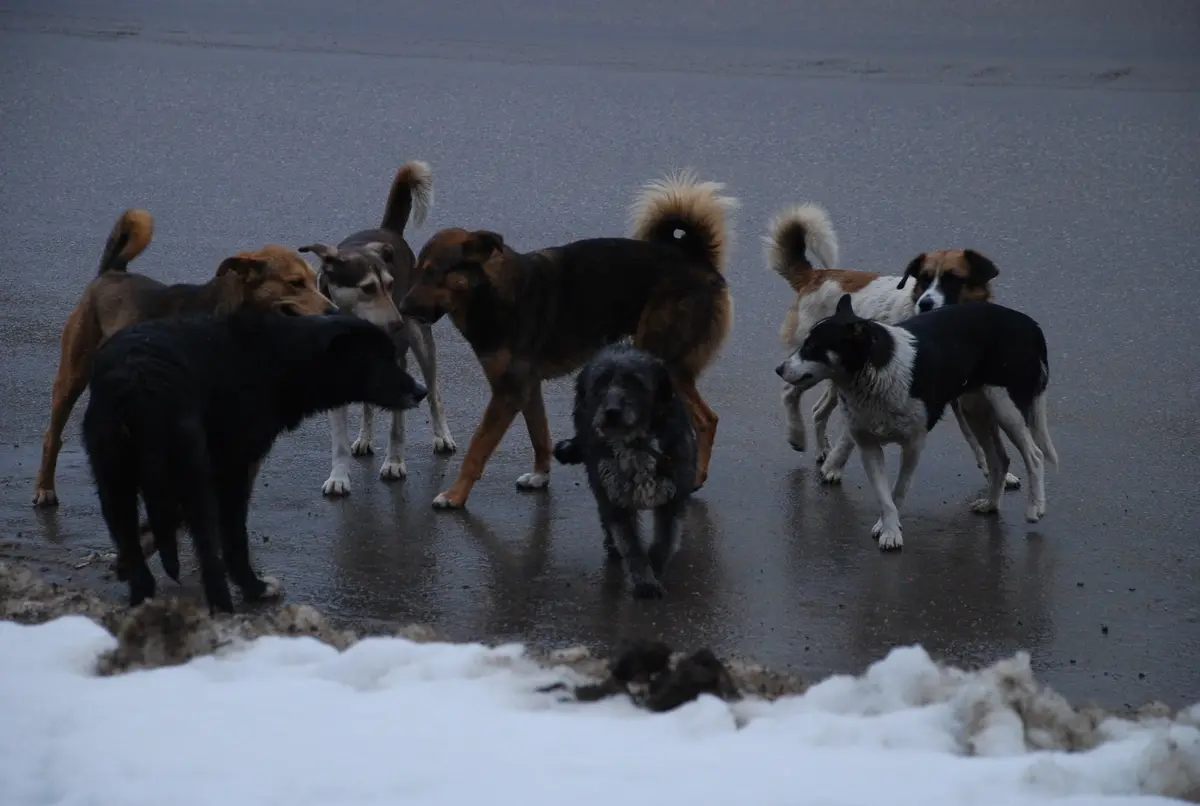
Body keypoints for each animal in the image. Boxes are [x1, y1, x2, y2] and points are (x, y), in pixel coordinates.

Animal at [81, 307, 427, 611]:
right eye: (381, 359)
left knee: (138, 564)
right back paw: (225, 609)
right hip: (191, 477)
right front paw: (254, 587)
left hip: (113, 485)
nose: (422, 391)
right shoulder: (233, 468)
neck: (281, 357)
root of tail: (137, 383)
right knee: (209, 559)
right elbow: (234, 538)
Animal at [400, 170, 739, 510]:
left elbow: (477, 448)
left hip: (664, 359)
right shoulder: (527, 387)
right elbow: (540, 435)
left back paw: (693, 478)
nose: (401, 307)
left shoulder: (508, 392)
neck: (491, 293)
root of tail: (697, 259)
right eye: (417, 271)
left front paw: (455, 495)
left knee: (707, 420)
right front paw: (540, 476)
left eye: (432, 273)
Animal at [549, 340, 696, 597]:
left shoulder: (672, 496)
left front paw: (655, 566)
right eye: (600, 382)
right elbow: (631, 545)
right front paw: (645, 582)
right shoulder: (615, 498)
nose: (611, 412)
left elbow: (664, 542)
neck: (635, 442)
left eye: (635, 382)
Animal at [763, 205, 1017, 486]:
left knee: (819, 411)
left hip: (834, 376)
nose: (926, 303)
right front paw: (835, 466)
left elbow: (976, 439)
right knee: (789, 392)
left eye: (953, 279)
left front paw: (1000, 474)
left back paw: (821, 448)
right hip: (809, 366)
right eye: (924, 279)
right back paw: (797, 436)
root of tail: (817, 275)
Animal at [772, 292, 1056, 551]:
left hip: (1007, 408)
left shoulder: (913, 445)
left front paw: (890, 531)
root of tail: (1030, 324)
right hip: (975, 409)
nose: (779, 369)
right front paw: (888, 527)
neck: (876, 372)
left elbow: (898, 490)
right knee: (999, 459)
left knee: (1035, 455)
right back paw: (991, 504)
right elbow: (884, 496)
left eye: (812, 347)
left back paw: (1035, 508)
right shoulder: (868, 446)